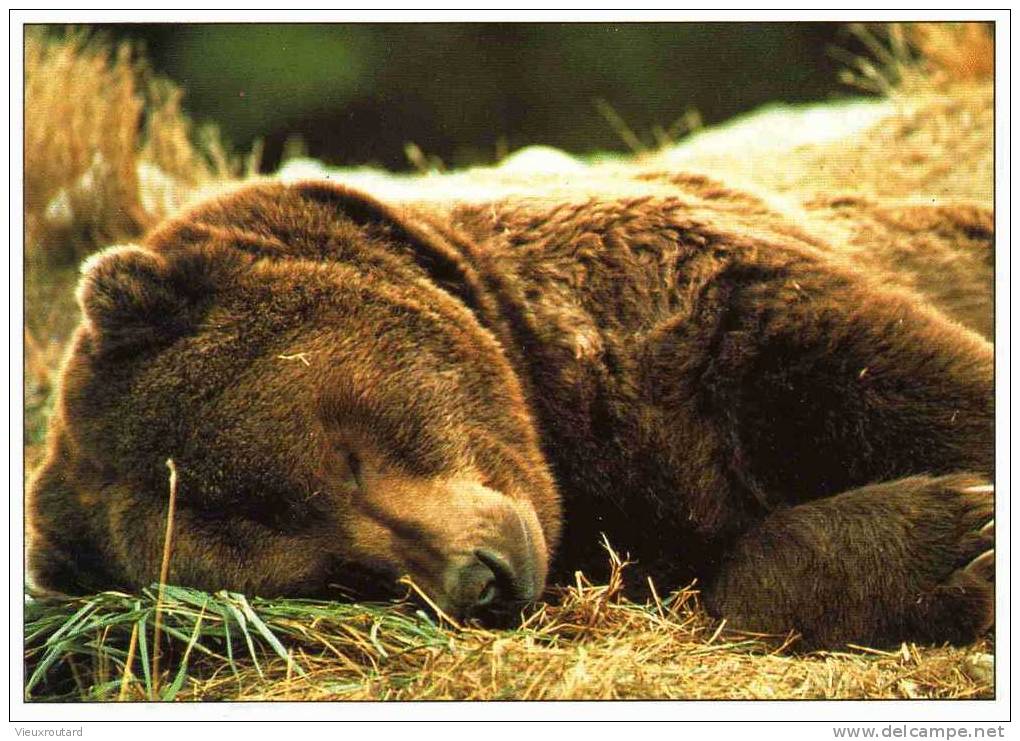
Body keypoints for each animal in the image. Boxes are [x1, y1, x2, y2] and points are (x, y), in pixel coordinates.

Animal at [27, 168, 991, 649]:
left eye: (343, 453)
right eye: (335, 574)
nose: (479, 579)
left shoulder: (697, 308)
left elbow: (922, 384)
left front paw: (967, 526)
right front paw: (950, 541)